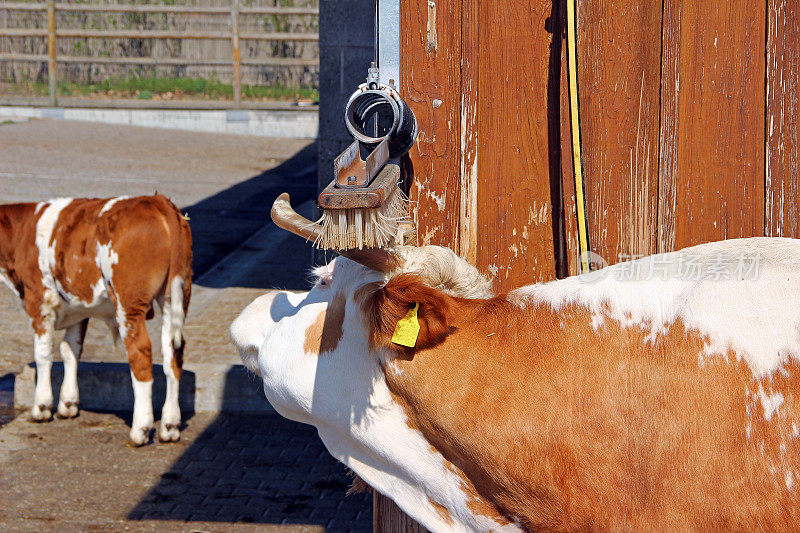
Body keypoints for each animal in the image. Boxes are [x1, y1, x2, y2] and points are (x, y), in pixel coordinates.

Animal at [0, 193, 192, 442]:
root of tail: (156, 201)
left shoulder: (39, 301)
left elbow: (43, 355)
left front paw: (41, 407)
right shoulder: (78, 309)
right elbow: (70, 350)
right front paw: (68, 404)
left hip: (129, 304)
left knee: (140, 353)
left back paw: (139, 430)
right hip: (175, 296)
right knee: (174, 355)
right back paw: (170, 426)